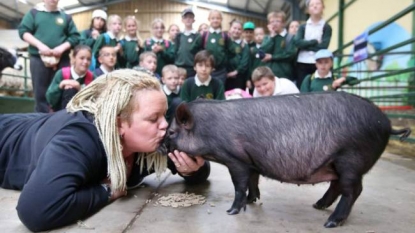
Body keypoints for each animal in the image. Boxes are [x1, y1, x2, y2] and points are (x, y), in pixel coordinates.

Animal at [166, 91, 412, 228]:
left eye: (171, 132)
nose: (161, 144)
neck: (207, 130)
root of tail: (387, 124)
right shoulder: (251, 160)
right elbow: (253, 181)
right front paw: (252, 201)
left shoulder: (235, 158)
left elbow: (240, 184)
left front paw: (232, 211)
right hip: (336, 161)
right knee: (337, 186)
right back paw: (317, 205)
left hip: (350, 158)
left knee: (352, 190)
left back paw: (330, 222)